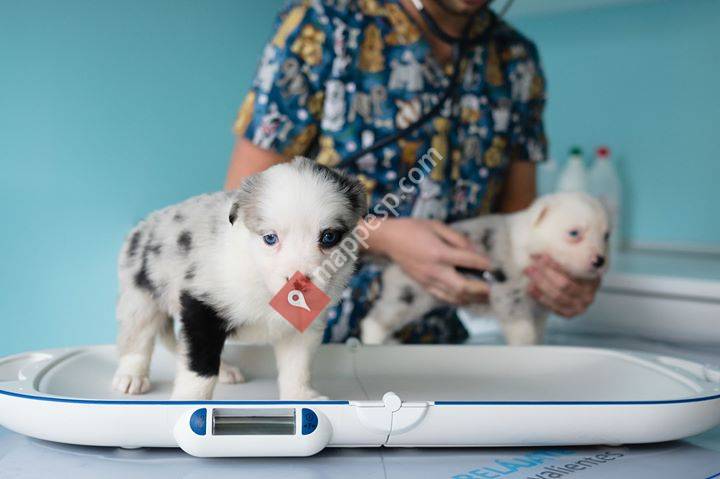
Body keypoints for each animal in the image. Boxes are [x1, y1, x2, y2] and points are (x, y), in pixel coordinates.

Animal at [116, 159, 372, 404]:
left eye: (329, 237)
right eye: (270, 238)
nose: (299, 285)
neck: (264, 285)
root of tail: (143, 225)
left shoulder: (303, 328)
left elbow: (297, 366)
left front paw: (301, 396)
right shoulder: (202, 308)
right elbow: (200, 365)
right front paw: (189, 400)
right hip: (141, 296)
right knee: (139, 336)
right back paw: (131, 376)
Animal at [362, 193, 612, 346]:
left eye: (606, 235)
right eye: (574, 233)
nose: (600, 261)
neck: (530, 243)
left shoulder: (539, 307)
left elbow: (538, 330)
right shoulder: (509, 294)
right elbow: (522, 330)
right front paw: (525, 346)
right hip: (407, 296)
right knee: (374, 322)